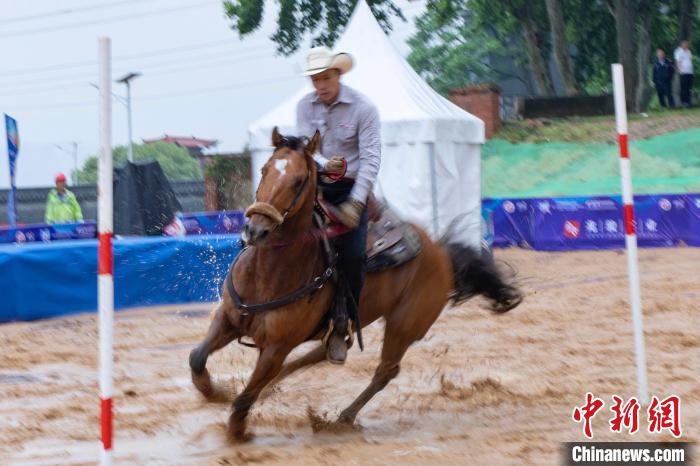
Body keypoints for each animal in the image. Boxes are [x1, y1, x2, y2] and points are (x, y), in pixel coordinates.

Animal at [189, 127, 524, 440]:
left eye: (299, 181)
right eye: (264, 170)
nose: (256, 230)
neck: (269, 274)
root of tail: (440, 251)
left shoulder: (276, 347)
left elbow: (245, 397)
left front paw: (237, 431)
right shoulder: (228, 319)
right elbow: (197, 357)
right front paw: (214, 392)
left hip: (405, 324)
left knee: (385, 371)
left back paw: (342, 417)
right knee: (321, 353)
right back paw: (279, 388)